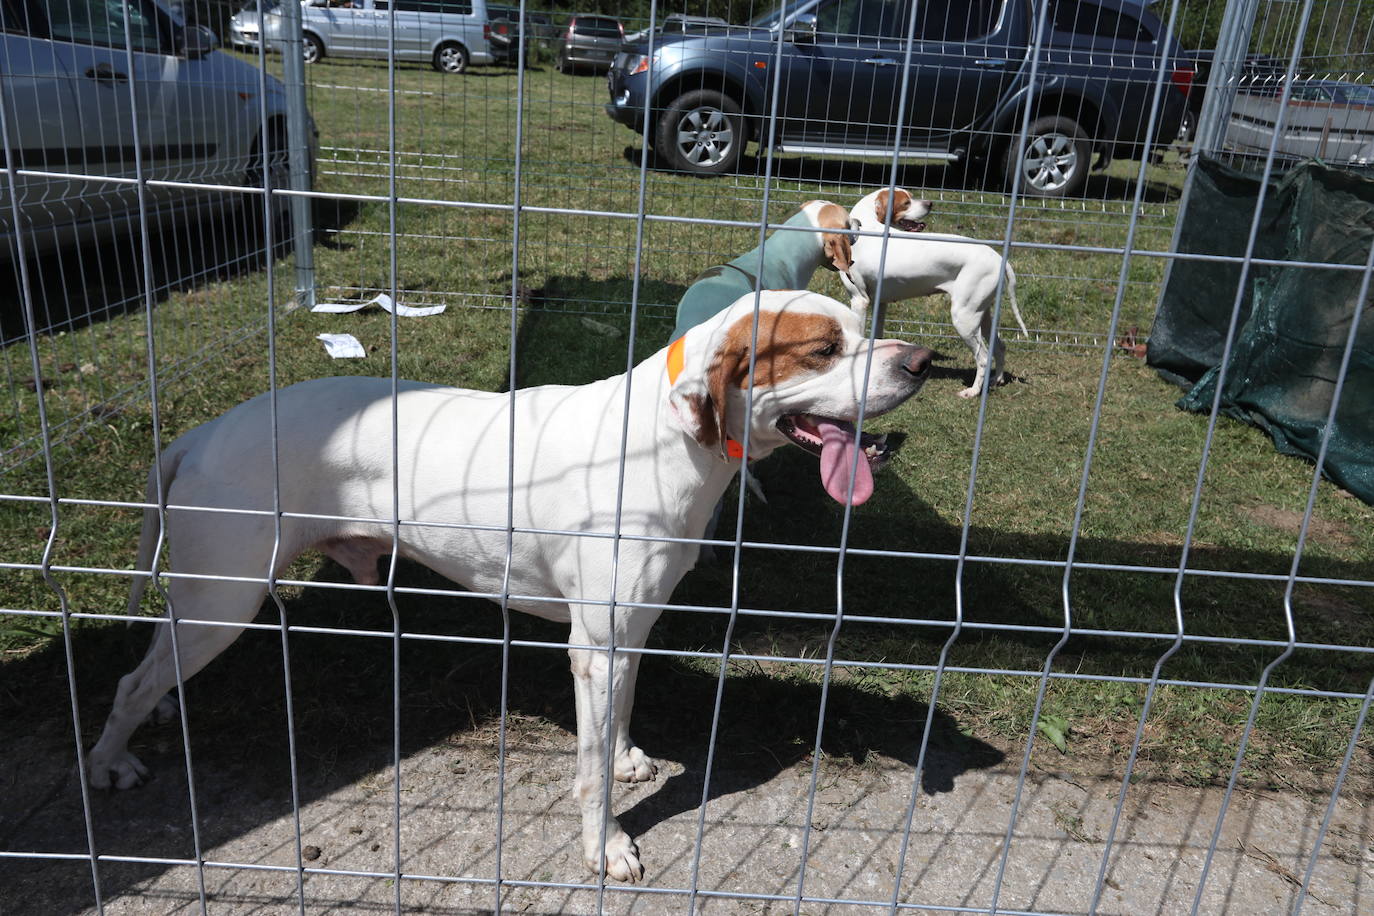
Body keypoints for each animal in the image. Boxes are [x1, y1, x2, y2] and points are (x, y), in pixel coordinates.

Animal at [88, 289, 934, 884]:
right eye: (825, 349)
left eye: (865, 326)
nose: (923, 361)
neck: (665, 440)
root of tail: (203, 432)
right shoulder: (595, 646)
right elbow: (590, 777)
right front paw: (607, 846)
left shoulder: (624, 633)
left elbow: (617, 722)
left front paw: (626, 755)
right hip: (224, 601)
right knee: (127, 680)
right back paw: (109, 762)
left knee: (153, 665)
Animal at [840, 186, 1027, 398]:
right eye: (906, 202)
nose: (929, 203)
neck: (867, 230)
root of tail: (998, 258)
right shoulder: (881, 303)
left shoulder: (859, 300)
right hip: (981, 315)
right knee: (1000, 347)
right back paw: (997, 380)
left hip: (964, 318)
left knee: (984, 358)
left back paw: (972, 391)